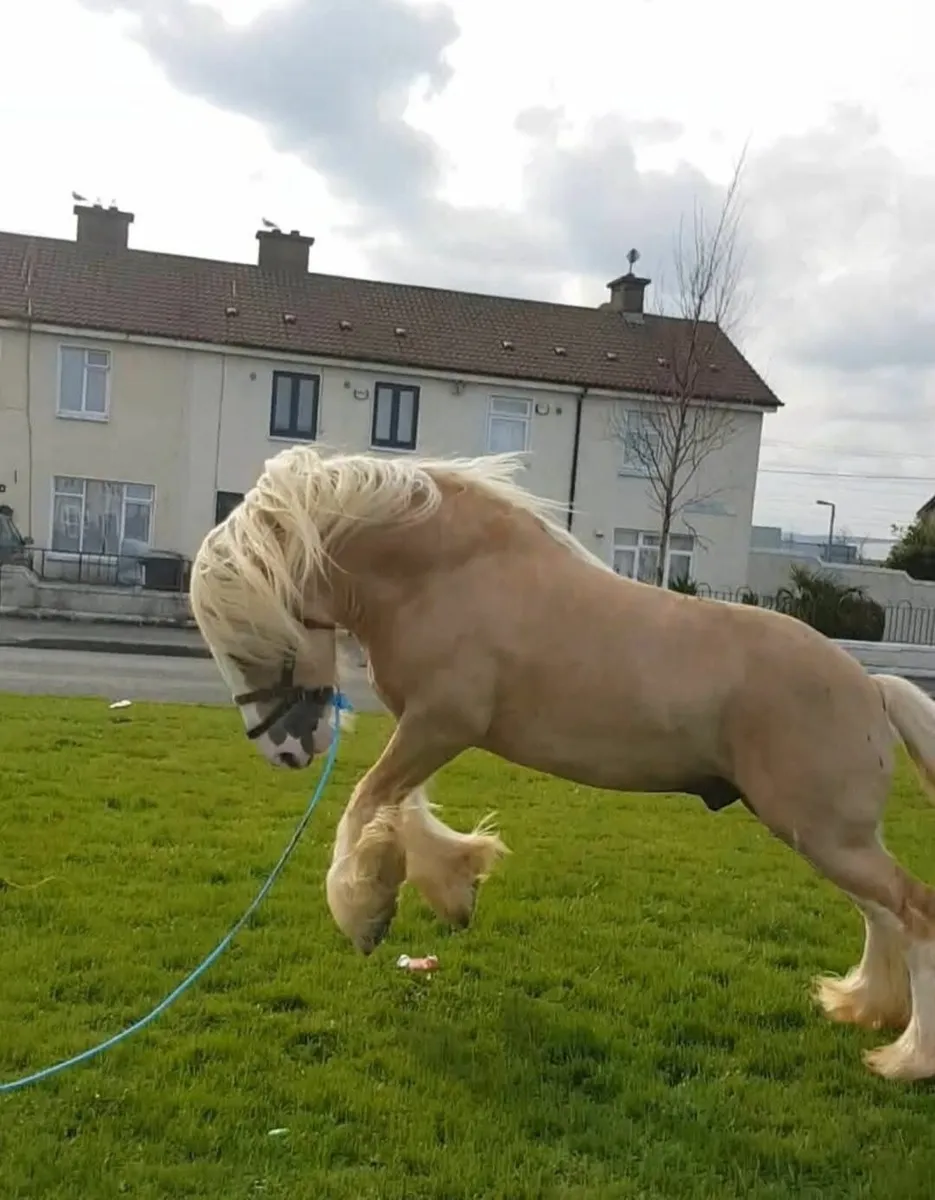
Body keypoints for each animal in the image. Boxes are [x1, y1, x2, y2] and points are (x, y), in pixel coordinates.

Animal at [189, 442, 935, 1082]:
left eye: (254, 640)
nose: (283, 752)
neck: (439, 573)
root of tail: (872, 688)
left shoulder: (442, 723)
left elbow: (366, 804)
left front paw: (365, 913)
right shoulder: (426, 728)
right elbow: (404, 810)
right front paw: (452, 889)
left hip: (823, 835)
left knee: (913, 911)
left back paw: (906, 1059)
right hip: (823, 835)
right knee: (881, 916)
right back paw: (861, 1006)